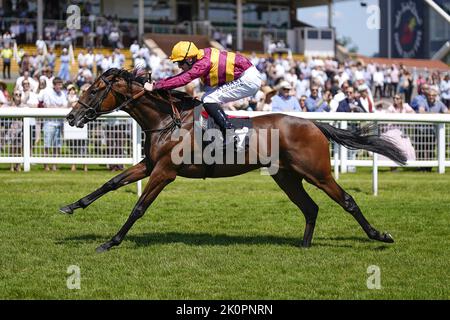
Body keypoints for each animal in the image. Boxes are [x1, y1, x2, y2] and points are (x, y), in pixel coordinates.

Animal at [62, 69, 408, 252]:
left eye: (94, 90)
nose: (71, 117)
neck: (168, 120)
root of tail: (313, 124)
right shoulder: (149, 165)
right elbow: (112, 182)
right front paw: (72, 205)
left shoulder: (165, 171)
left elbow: (138, 207)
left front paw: (112, 241)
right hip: (287, 176)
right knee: (310, 208)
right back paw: (304, 246)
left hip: (317, 173)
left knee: (347, 200)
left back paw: (380, 235)